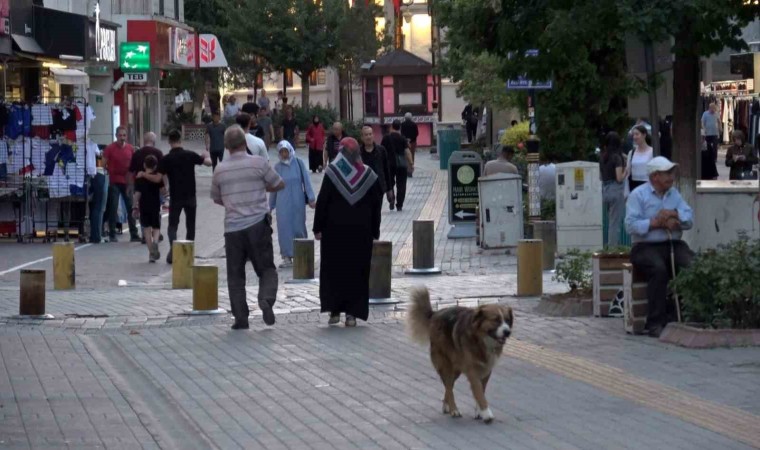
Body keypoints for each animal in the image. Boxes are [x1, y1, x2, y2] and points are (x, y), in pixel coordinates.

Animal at [406, 286, 512, 424]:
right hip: (445, 363)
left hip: (456, 369)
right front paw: (486, 413)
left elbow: (481, 391)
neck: (481, 339)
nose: (507, 332)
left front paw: (479, 412)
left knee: (448, 386)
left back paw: (446, 405)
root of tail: (435, 314)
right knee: (448, 386)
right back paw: (454, 409)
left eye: (508, 320)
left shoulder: (486, 370)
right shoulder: (473, 371)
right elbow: (479, 393)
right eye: (496, 320)